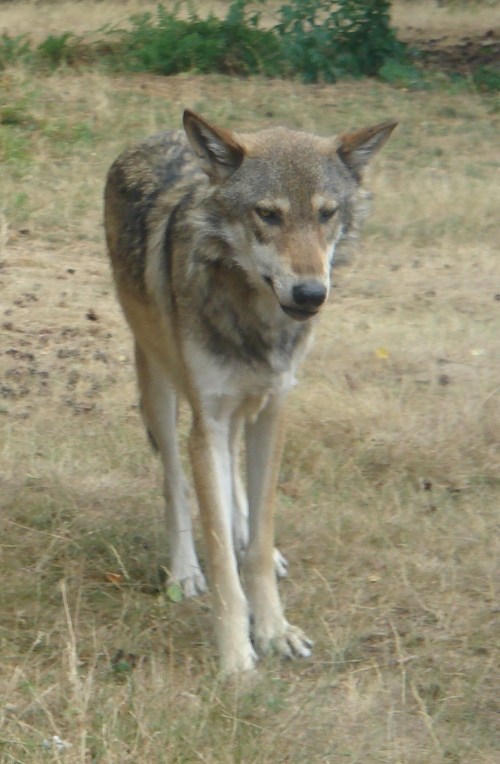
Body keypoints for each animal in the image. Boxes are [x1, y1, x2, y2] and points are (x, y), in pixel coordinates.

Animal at [103, 109, 396, 676]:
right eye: (268, 214)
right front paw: (237, 656)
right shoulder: (207, 422)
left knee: (234, 484)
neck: (256, 321)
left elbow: (258, 540)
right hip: (159, 387)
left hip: (241, 406)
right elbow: (219, 554)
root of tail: (158, 134)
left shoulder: (273, 409)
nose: (311, 293)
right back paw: (183, 572)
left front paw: (276, 630)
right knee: (175, 483)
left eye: (326, 214)